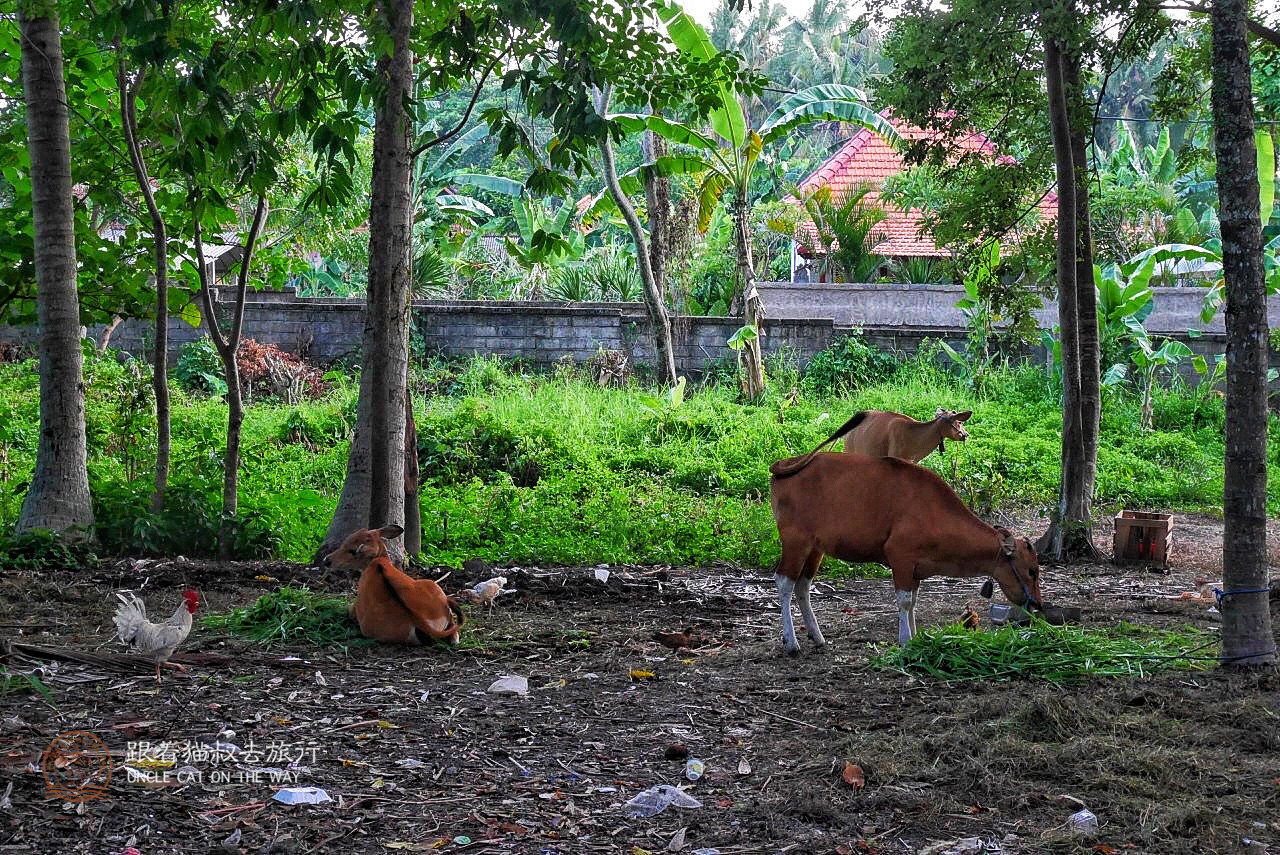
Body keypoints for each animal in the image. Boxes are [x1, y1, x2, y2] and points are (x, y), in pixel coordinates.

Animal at [768, 453, 1039, 647]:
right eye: (1032, 571)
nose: (1036, 603)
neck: (934, 511)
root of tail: (785, 464)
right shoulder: (901, 558)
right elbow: (905, 601)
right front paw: (906, 640)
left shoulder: (916, 568)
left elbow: (914, 601)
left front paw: (916, 637)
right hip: (796, 540)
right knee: (784, 581)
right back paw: (791, 642)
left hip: (816, 547)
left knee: (803, 585)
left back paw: (817, 636)